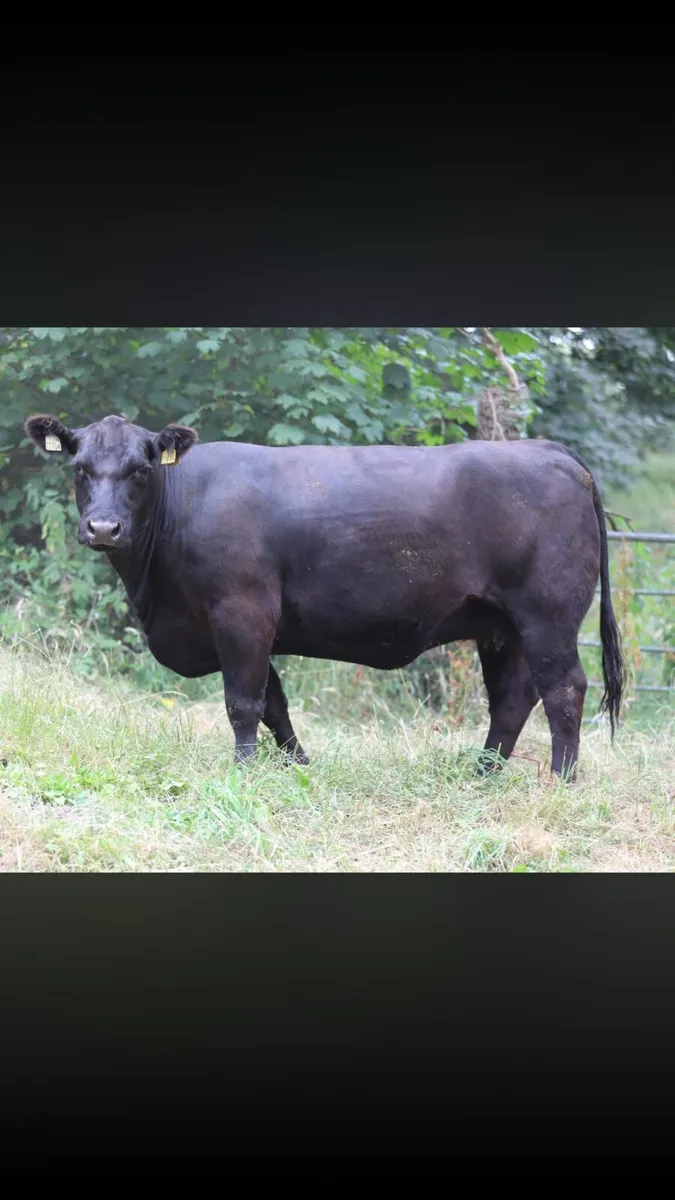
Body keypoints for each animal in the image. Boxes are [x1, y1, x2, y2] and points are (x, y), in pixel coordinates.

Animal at [24, 412, 625, 780]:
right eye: (80, 468)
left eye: (141, 469)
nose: (103, 528)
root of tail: (552, 452)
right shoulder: (243, 625)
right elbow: (274, 704)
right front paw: (298, 767)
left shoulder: (242, 612)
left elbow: (243, 703)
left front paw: (244, 773)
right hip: (501, 626)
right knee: (512, 699)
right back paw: (483, 775)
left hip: (547, 615)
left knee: (564, 690)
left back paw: (560, 780)